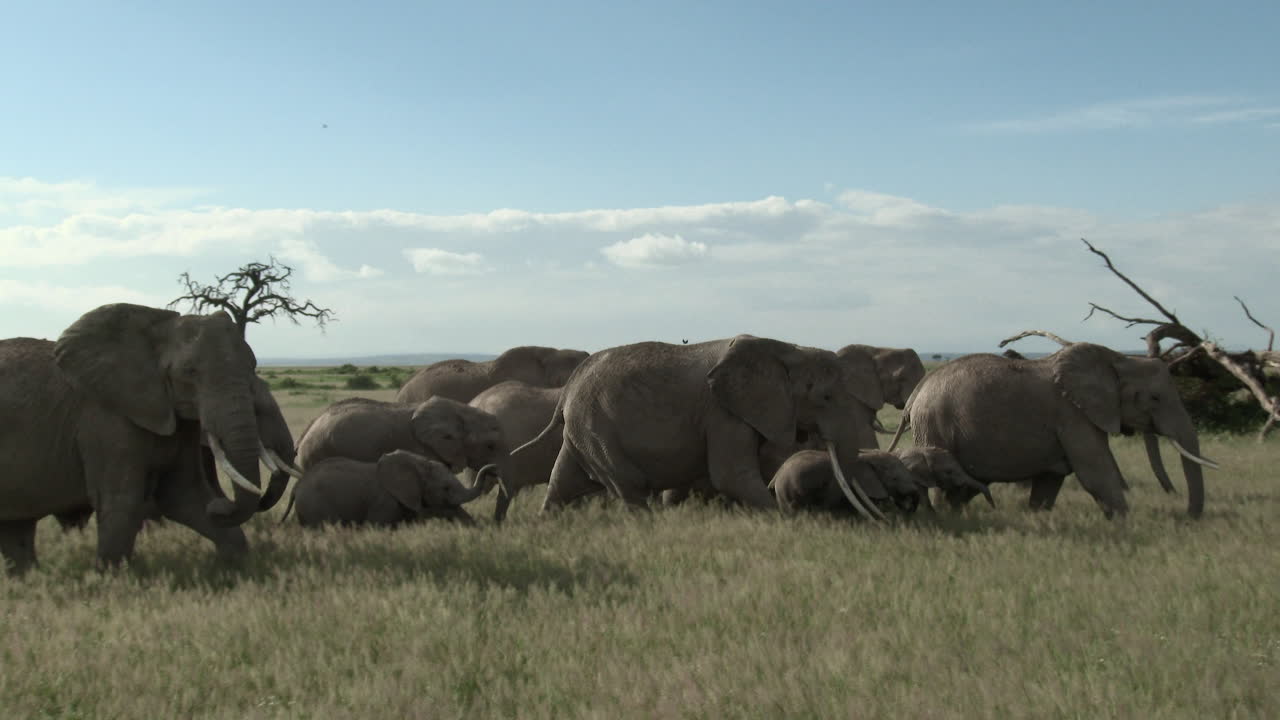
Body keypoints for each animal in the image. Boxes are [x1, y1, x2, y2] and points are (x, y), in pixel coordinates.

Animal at [0, 304, 291, 573]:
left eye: (252, 365)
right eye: (189, 372)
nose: (222, 505)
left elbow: (185, 495)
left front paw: (236, 569)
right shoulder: (106, 421)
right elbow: (122, 502)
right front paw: (112, 580)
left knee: (16, 531)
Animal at [292, 451, 494, 528]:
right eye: (446, 488)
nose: (493, 468)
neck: (419, 464)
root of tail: (299, 484)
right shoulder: (384, 502)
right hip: (315, 505)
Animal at [516, 335, 889, 521]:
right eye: (825, 397)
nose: (882, 520)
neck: (787, 349)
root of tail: (569, 387)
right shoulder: (723, 413)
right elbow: (732, 476)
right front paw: (788, 521)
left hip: (584, 428)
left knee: (562, 480)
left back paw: (545, 524)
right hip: (598, 429)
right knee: (629, 484)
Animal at [889, 342, 1218, 518]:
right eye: (1155, 398)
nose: (1189, 517)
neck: (1117, 358)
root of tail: (915, 397)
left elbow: (1050, 482)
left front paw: (1037, 517)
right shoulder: (1074, 416)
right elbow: (1095, 474)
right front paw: (1127, 524)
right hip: (934, 426)